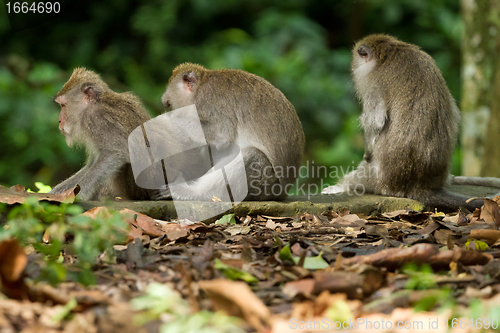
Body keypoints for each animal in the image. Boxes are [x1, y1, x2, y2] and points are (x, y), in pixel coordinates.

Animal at [49, 68, 179, 200]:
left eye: (63, 105)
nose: (59, 121)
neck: (95, 104)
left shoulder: (99, 121)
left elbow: (114, 154)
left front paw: (79, 194)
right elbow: (93, 163)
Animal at [154, 63, 306, 201]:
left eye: (170, 104)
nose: (169, 107)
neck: (201, 84)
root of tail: (282, 193)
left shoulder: (209, 100)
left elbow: (222, 134)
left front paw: (166, 119)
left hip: (264, 185)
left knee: (251, 154)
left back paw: (194, 193)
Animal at [320, 34, 484, 210]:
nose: (354, 68)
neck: (390, 53)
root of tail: (419, 187)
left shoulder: (373, 83)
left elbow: (375, 122)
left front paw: (366, 152)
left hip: (376, 180)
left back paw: (342, 187)